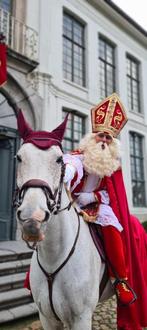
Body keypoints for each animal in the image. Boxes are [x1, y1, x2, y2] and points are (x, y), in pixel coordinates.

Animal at [15, 142, 112, 330]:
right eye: (19, 158)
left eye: (59, 159)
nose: (32, 220)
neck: (53, 257)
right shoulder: (47, 317)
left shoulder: (81, 318)